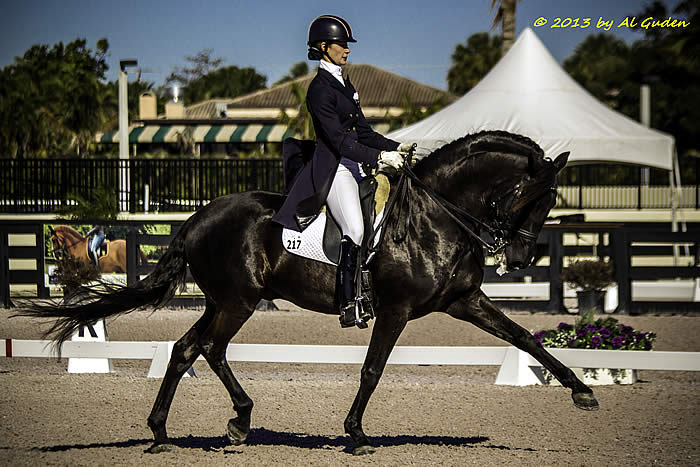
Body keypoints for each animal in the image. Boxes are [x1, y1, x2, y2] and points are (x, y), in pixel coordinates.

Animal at [20, 131, 596, 458]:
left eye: (549, 201)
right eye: (531, 196)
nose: (519, 258)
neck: (436, 215)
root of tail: (197, 219)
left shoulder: (464, 302)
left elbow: (525, 339)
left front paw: (581, 391)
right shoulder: (396, 310)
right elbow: (373, 369)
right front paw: (356, 434)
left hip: (224, 301)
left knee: (187, 349)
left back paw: (168, 432)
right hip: (238, 301)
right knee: (209, 348)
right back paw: (236, 419)